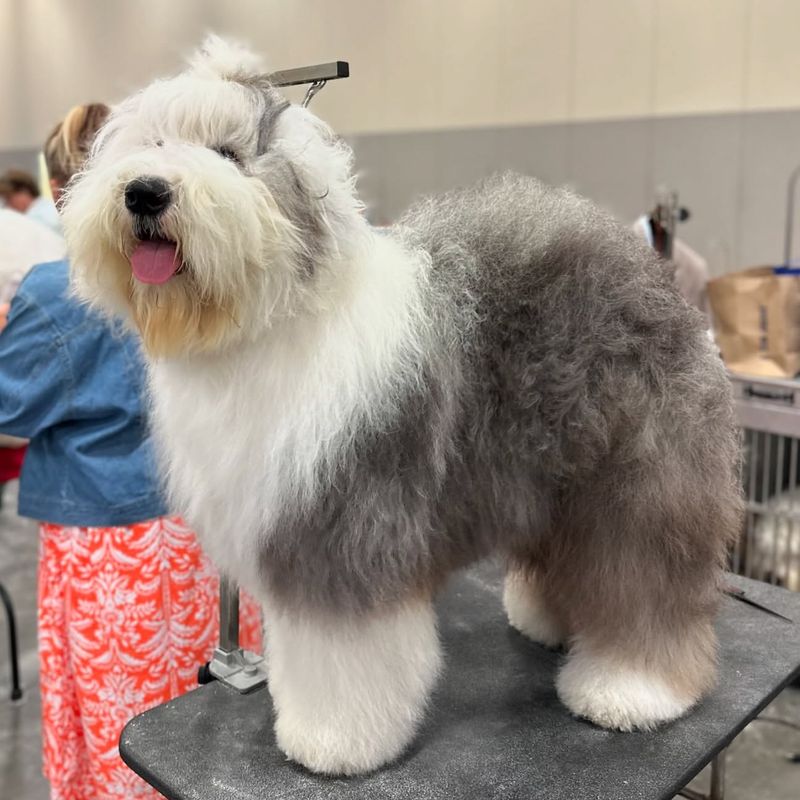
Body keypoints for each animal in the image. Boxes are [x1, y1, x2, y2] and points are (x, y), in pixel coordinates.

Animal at [64, 37, 744, 776]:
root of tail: (648, 275)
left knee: (645, 580)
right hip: (553, 476)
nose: (145, 191)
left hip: (638, 482)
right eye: (155, 142)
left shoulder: (345, 526)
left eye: (228, 153)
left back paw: (631, 688)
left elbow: (343, 653)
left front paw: (331, 741)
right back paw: (547, 617)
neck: (266, 322)